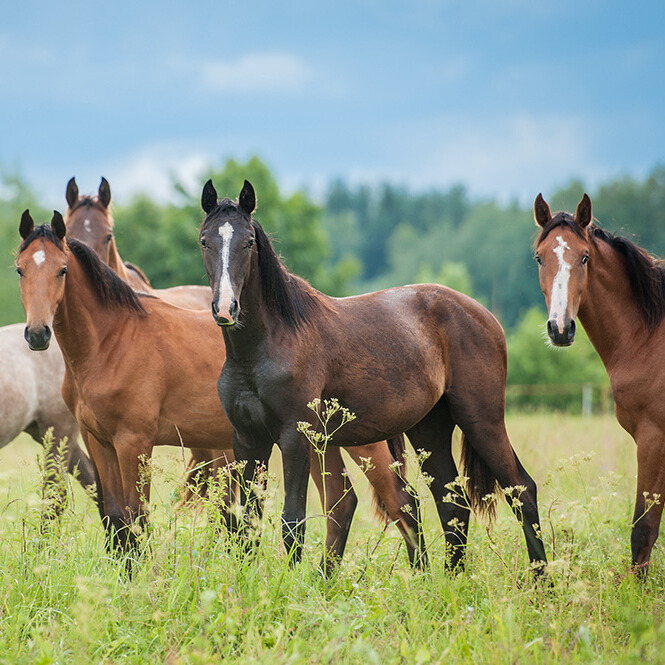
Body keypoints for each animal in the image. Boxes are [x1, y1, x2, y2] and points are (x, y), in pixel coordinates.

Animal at [18, 209, 426, 572]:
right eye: (20, 269)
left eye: (62, 270)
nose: (37, 334)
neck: (112, 341)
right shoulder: (98, 441)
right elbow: (116, 519)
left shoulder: (134, 443)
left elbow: (137, 518)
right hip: (322, 441)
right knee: (342, 504)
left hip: (362, 444)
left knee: (401, 502)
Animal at [198, 179, 548, 572]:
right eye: (204, 241)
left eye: (248, 242)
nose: (226, 308)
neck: (265, 346)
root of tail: (485, 316)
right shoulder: (248, 440)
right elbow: (246, 521)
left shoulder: (294, 438)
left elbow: (292, 521)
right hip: (429, 430)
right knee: (451, 502)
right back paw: (452, 580)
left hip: (481, 420)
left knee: (522, 490)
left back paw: (541, 580)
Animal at [532, 192, 664, 576]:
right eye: (539, 257)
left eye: (585, 257)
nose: (560, 328)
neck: (647, 336)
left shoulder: (653, 440)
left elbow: (643, 530)